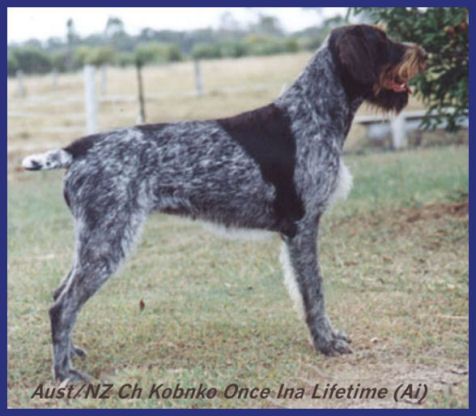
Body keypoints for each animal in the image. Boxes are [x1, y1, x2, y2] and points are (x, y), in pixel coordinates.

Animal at [22, 24, 427, 382]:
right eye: (382, 40)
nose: (424, 54)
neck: (314, 111)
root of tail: (79, 149)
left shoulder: (296, 232)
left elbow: (306, 291)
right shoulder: (303, 226)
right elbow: (314, 292)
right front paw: (326, 343)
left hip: (94, 240)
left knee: (60, 295)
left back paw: (71, 352)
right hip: (107, 241)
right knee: (61, 306)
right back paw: (64, 373)